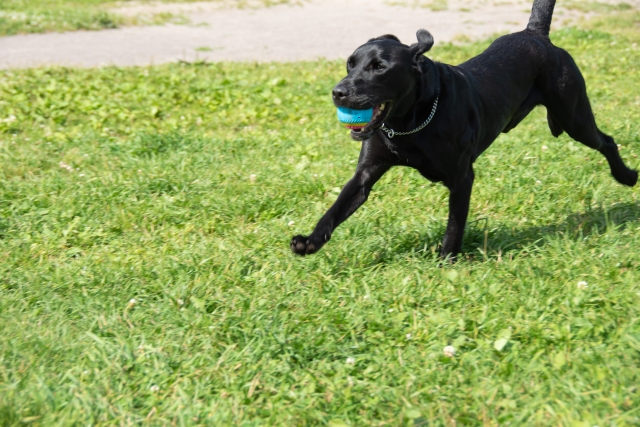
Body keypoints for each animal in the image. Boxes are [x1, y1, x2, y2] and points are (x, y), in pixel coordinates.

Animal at [292, 0, 636, 260]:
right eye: (350, 64)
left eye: (379, 67)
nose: (338, 92)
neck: (410, 125)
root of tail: (536, 35)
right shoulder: (366, 173)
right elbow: (335, 209)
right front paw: (308, 242)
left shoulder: (461, 178)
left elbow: (455, 224)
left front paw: (447, 260)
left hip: (574, 116)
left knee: (607, 141)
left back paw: (627, 176)